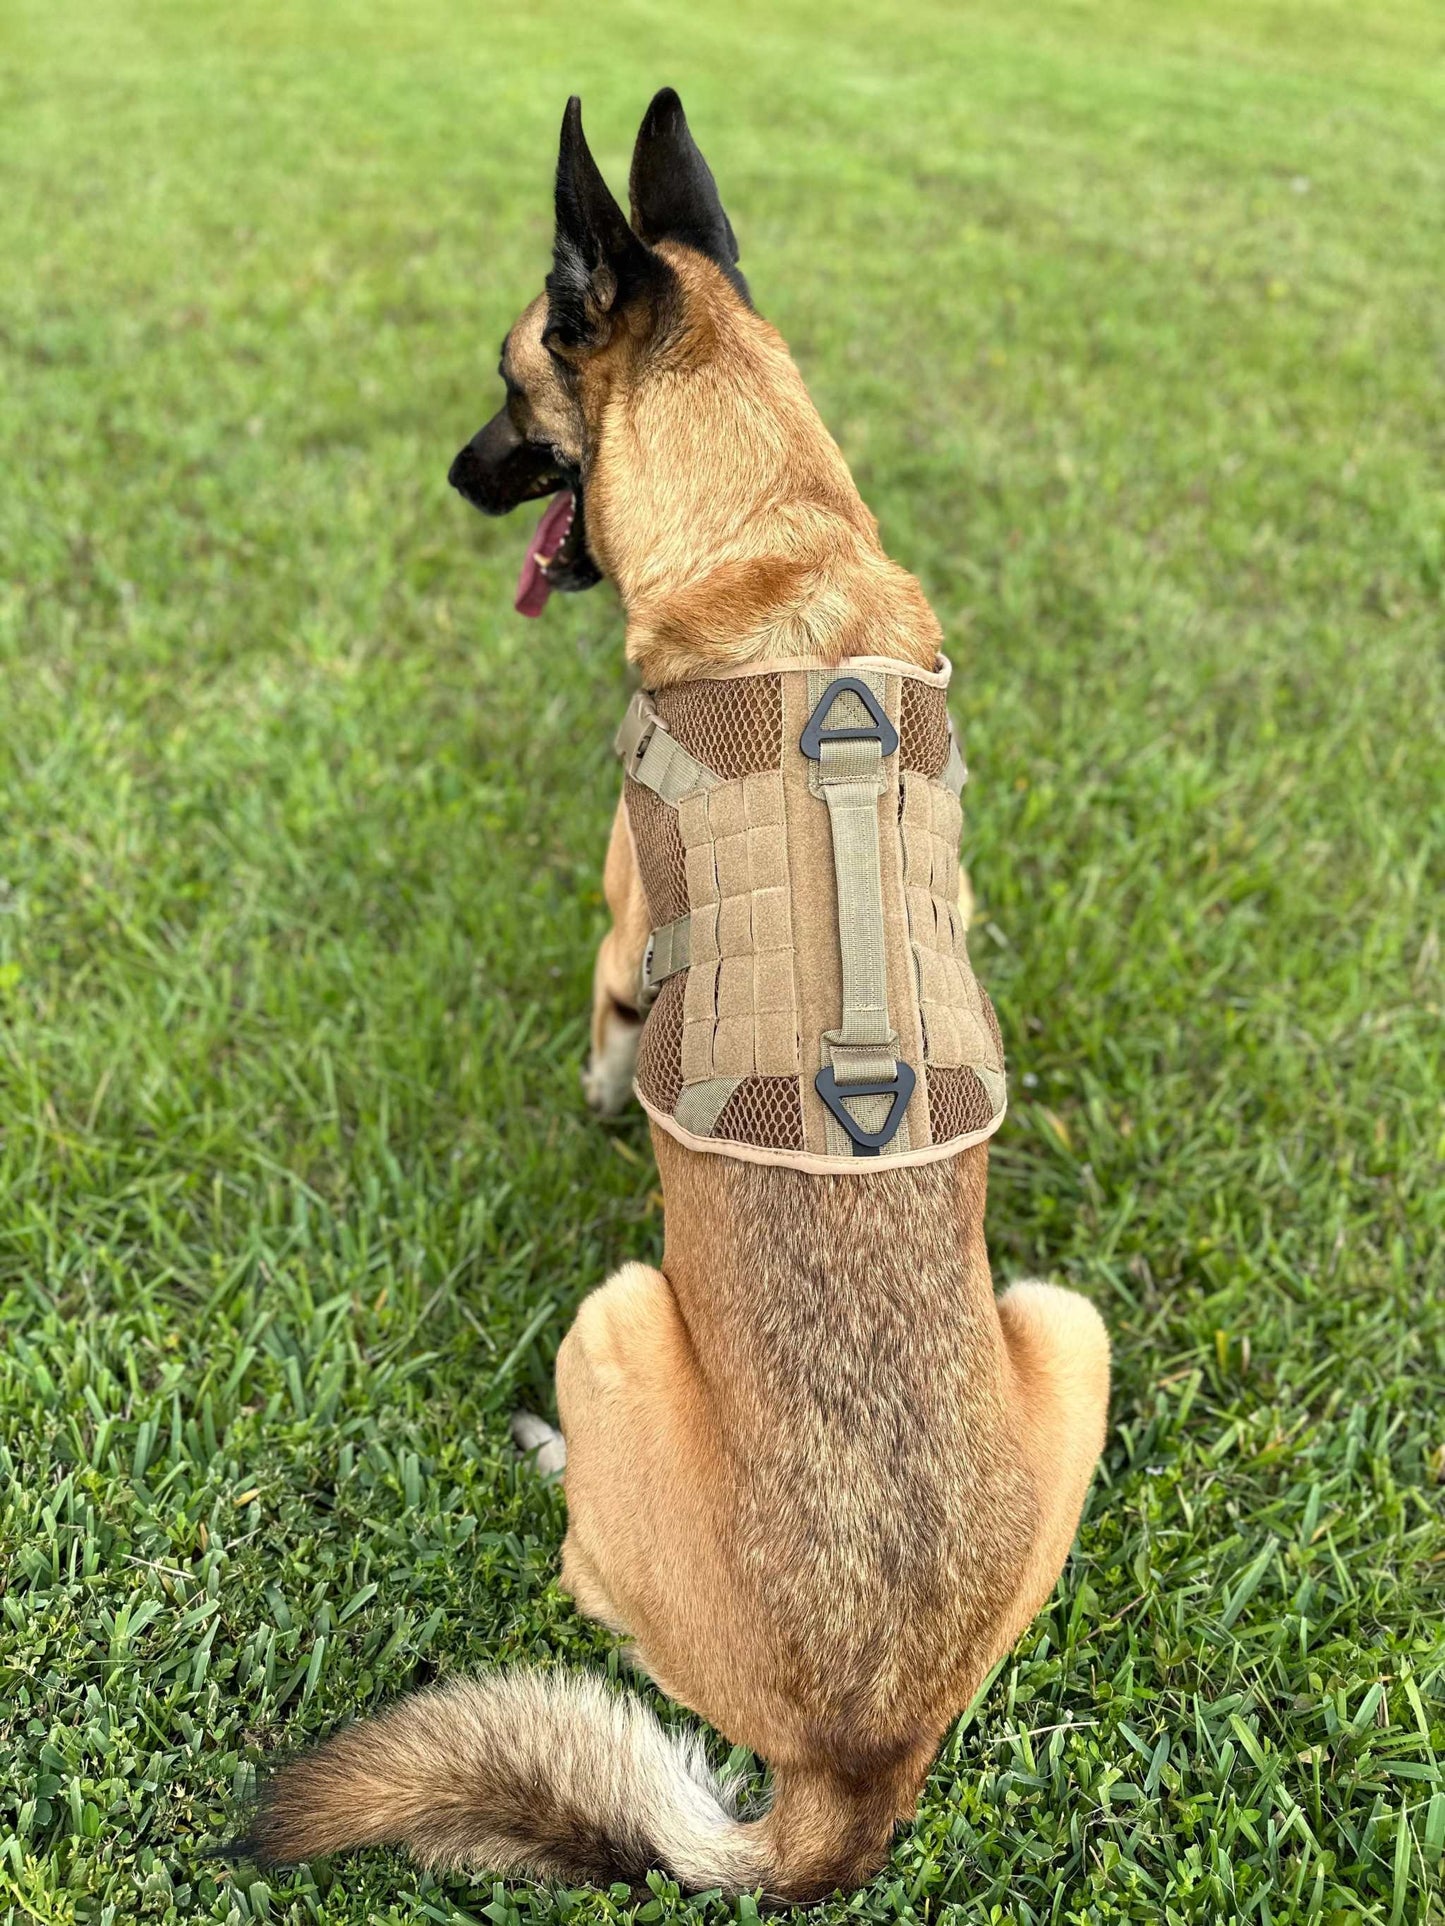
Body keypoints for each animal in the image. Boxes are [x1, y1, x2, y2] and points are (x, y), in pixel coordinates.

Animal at [243, 86, 1117, 1895]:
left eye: (511, 381)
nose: (454, 475)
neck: (774, 527)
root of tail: (854, 1763)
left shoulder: (615, 930)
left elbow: (602, 1037)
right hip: (1067, 1322)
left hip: (621, 1311)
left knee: (592, 1574)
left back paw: (550, 1456)